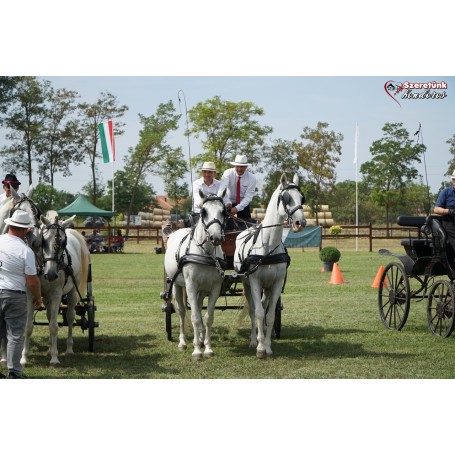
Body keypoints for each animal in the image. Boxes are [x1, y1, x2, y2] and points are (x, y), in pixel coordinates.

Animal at [21, 215, 91, 366]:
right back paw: (49, 348)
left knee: (70, 316)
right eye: (43, 240)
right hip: (47, 298)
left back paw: (69, 349)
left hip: (72, 293)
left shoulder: (56, 295)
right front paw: (24, 358)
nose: (52, 274)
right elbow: (28, 327)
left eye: (64, 243)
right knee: (49, 317)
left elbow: (54, 326)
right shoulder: (30, 295)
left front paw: (54, 358)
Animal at [165, 189, 227, 360]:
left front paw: (207, 347)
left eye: (223, 211)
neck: (205, 253)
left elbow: (207, 318)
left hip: (201, 290)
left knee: (198, 308)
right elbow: (194, 318)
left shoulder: (214, 288)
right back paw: (183, 342)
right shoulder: (191, 286)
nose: (215, 237)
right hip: (177, 285)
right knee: (181, 311)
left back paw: (198, 338)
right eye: (204, 212)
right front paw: (197, 351)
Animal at [235, 173, 306, 358]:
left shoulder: (276, 283)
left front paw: (267, 346)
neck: (267, 245)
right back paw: (254, 340)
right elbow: (259, 313)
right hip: (247, 284)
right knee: (253, 310)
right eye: (286, 198)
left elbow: (271, 315)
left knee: (264, 305)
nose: (300, 223)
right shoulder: (254, 282)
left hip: (266, 288)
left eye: (302, 198)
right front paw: (260, 348)